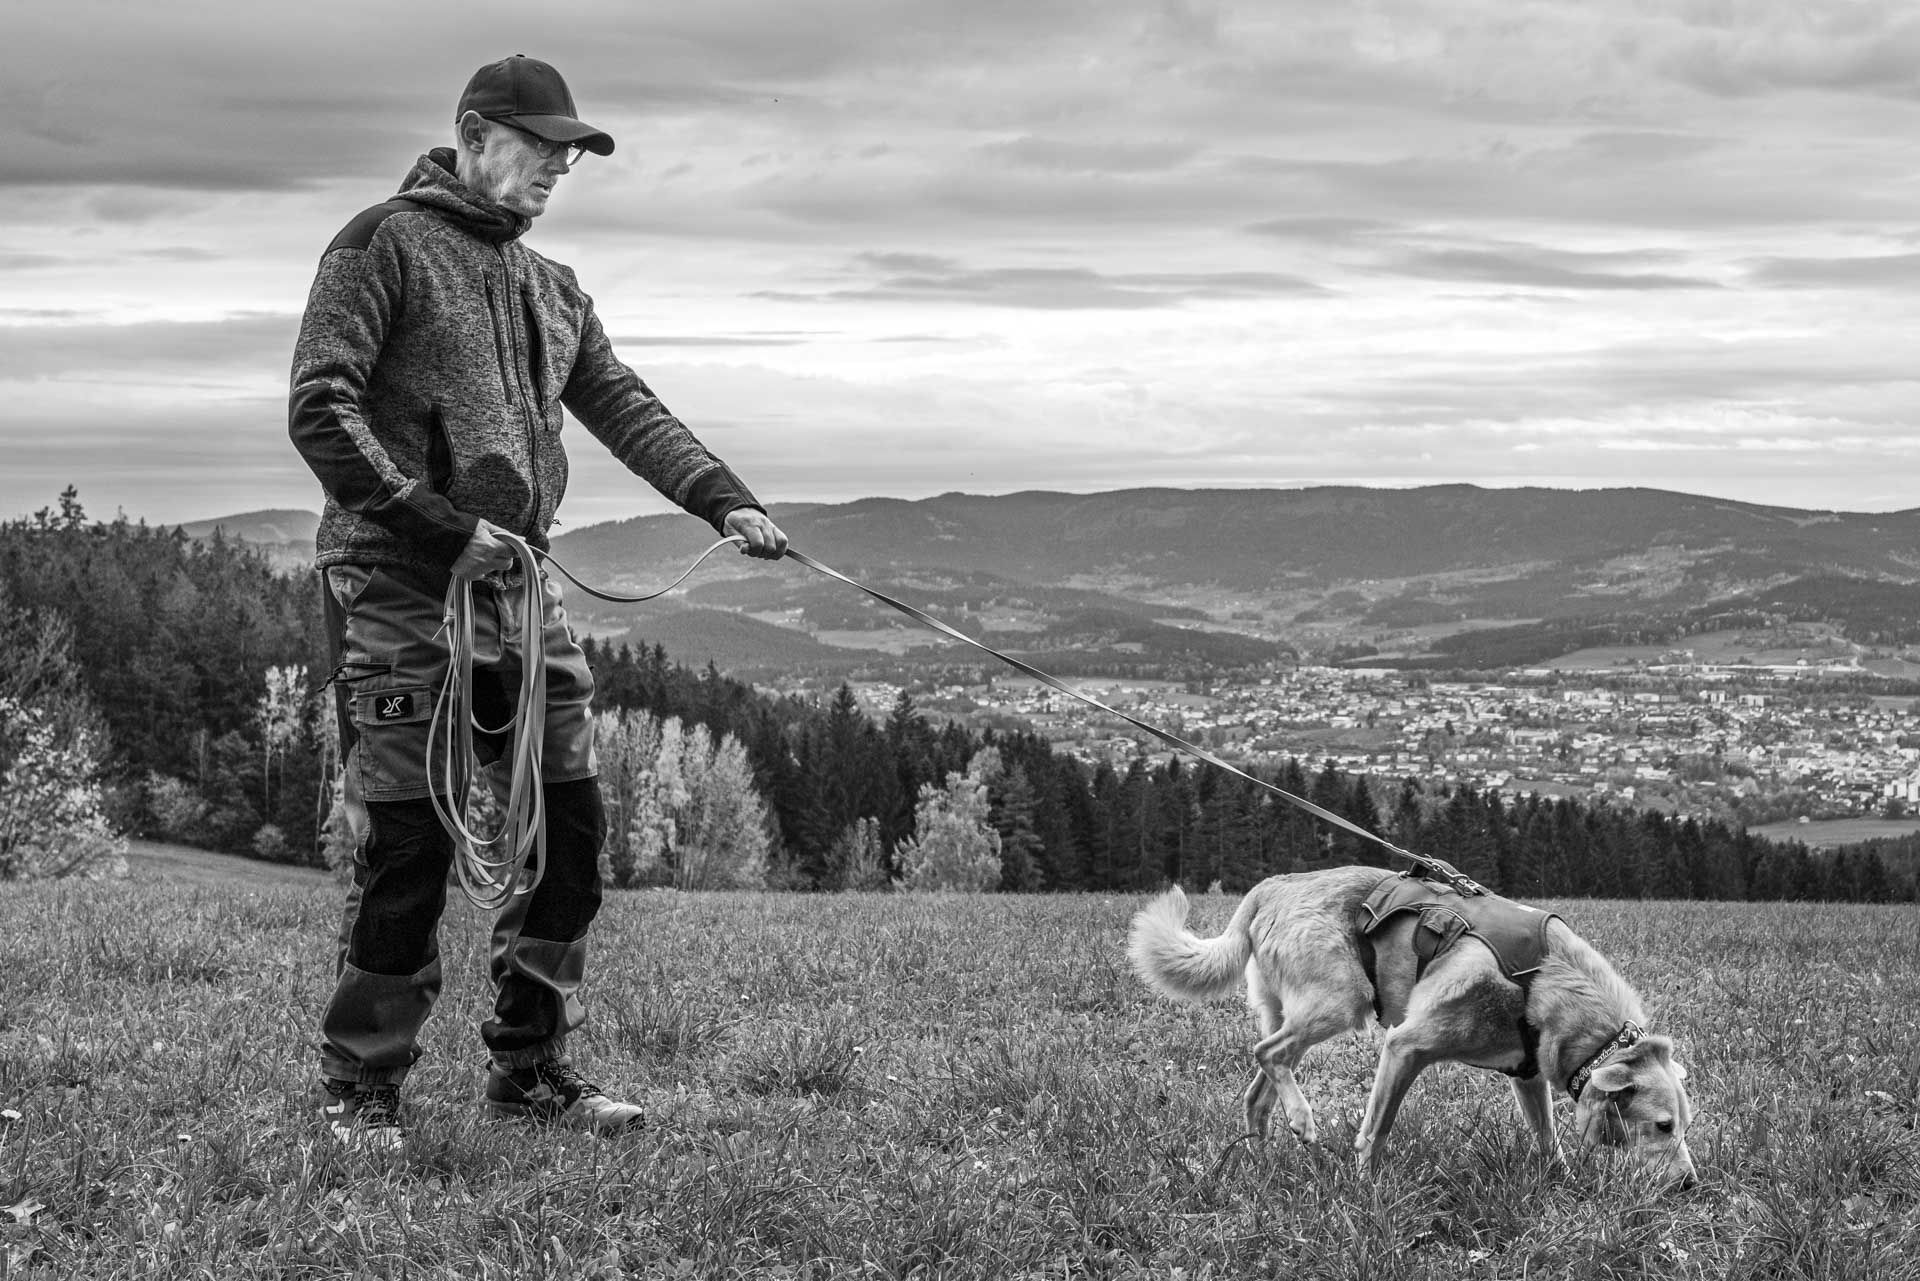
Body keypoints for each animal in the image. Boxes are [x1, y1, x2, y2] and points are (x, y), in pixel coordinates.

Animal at [1121, 868, 1697, 1190]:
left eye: (1684, 1127)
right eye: (1663, 1126)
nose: (1691, 1186)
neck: (1541, 977)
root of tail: (1269, 888)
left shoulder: (1527, 1074)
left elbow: (1546, 1137)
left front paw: (1563, 1182)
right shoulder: (1406, 1046)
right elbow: (1376, 1130)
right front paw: (1365, 1191)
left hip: (1289, 1010)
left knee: (1258, 1090)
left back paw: (1262, 1157)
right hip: (1339, 1001)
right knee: (1269, 1052)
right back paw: (1303, 1120)